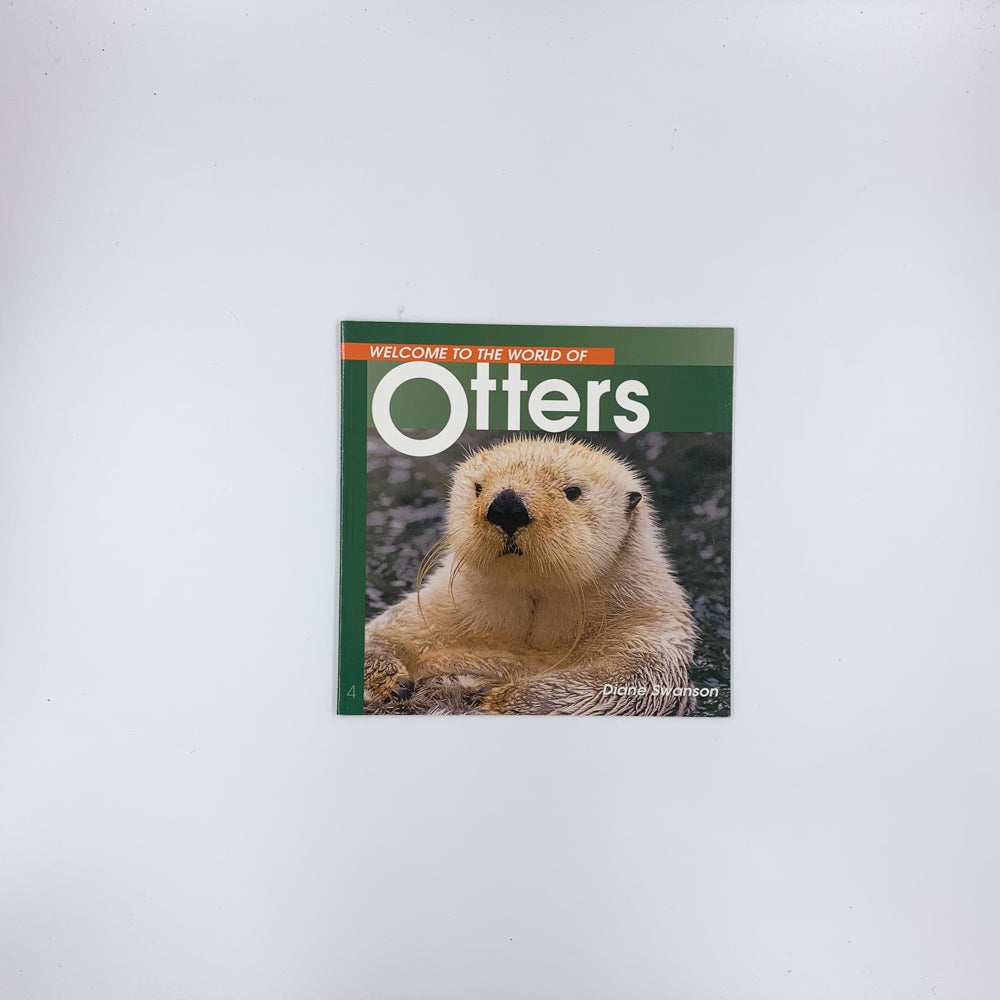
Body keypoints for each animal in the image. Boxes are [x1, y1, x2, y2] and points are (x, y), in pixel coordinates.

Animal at [363, 437, 696, 715]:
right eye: (478, 487)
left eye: (573, 491)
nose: (507, 505)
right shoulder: (432, 610)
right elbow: (379, 637)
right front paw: (389, 682)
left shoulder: (649, 632)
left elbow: (619, 688)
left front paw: (496, 700)